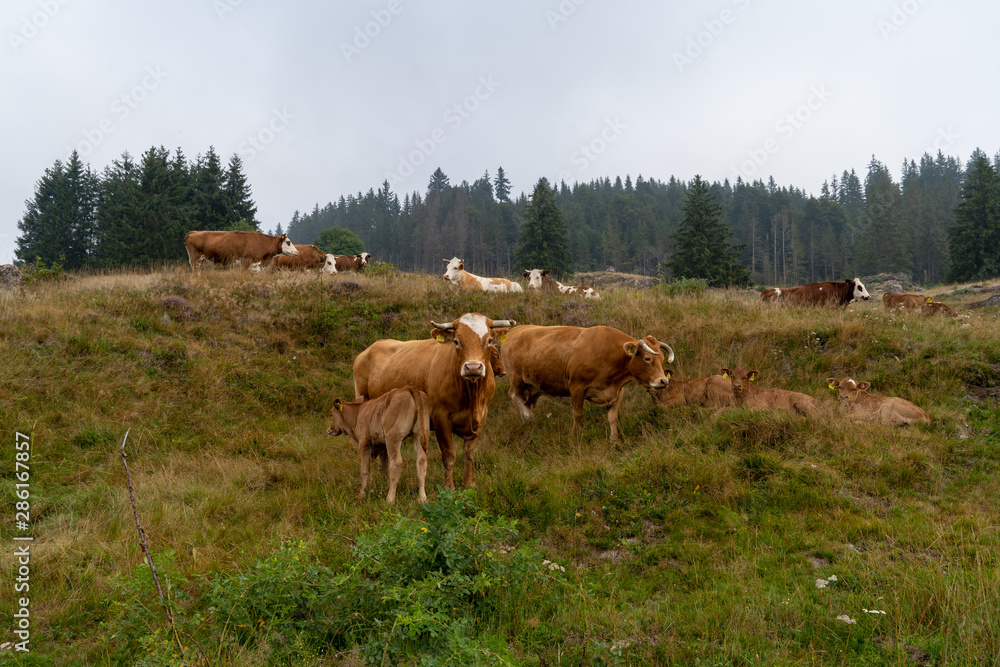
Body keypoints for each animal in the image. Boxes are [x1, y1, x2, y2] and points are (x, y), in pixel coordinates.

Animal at [354, 314, 516, 490]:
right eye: (456, 341)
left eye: (489, 340)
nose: (473, 367)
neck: (471, 395)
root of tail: (368, 349)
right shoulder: (441, 418)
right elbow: (449, 454)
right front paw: (448, 487)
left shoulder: (482, 417)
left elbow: (469, 453)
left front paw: (469, 483)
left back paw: (384, 476)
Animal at [504, 324, 676, 440]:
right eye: (647, 358)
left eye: (661, 359)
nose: (663, 381)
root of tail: (514, 330)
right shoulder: (576, 387)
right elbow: (578, 414)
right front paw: (574, 436)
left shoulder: (617, 391)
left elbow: (613, 417)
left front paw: (614, 439)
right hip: (517, 378)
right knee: (513, 395)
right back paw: (528, 416)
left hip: (531, 385)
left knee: (524, 399)